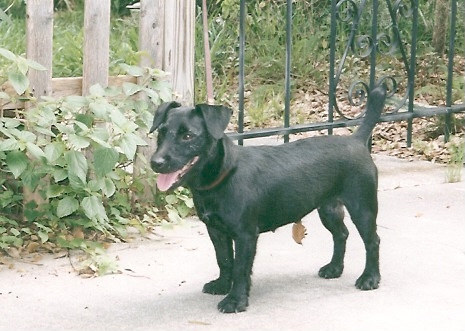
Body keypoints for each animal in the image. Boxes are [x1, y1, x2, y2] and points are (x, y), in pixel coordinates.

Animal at [149, 85, 384, 314]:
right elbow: (224, 260)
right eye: (161, 133)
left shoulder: (245, 235)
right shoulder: (216, 231)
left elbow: (240, 268)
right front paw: (223, 285)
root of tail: (356, 140)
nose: (155, 162)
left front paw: (235, 300)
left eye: (188, 136)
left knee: (372, 241)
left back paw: (370, 278)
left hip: (362, 207)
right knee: (341, 234)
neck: (224, 174)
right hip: (328, 209)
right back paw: (334, 268)